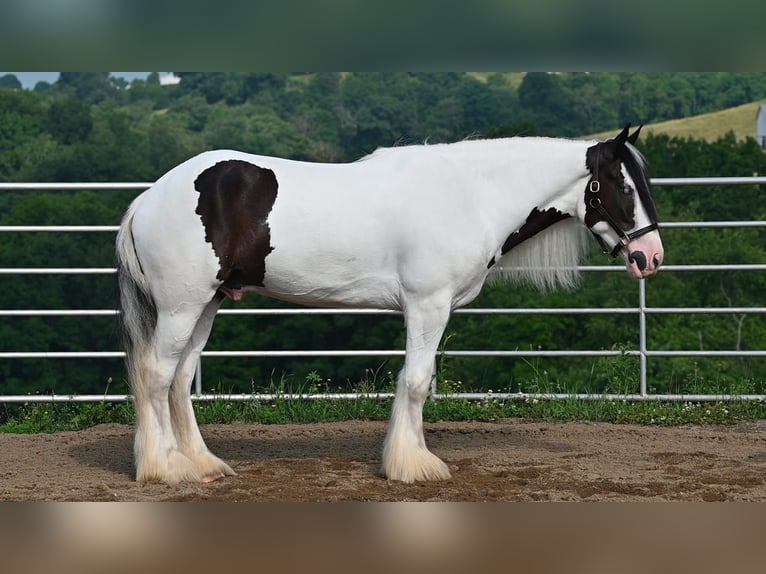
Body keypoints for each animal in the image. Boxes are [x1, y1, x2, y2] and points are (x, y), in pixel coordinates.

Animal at [116, 124, 663, 484]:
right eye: (621, 184)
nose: (650, 256)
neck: (470, 195)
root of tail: (148, 199)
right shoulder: (428, 306)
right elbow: (417, 382)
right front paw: (415, 467)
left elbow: (417, 382)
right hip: (182, 307)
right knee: (157, 376)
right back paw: (167, 468)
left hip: (206, 305)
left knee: (181, 379)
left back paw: (202, 465)